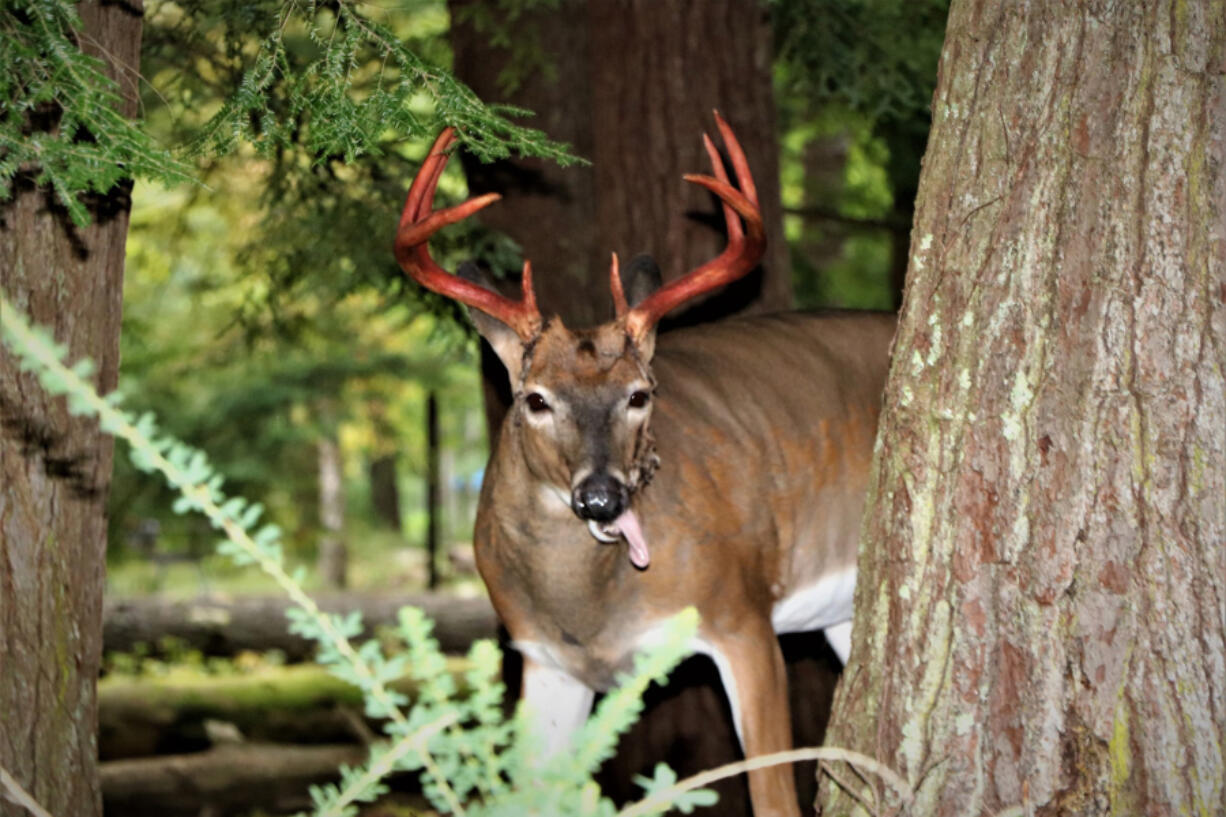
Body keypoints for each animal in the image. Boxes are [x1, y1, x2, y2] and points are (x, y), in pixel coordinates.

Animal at [397, 115, 897, 814]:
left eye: (641, 394)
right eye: (534, 399)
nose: (602, 498)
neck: (592, 614)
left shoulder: (741, 614)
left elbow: (772, 795)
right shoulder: (545, 660)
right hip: (847, 616)